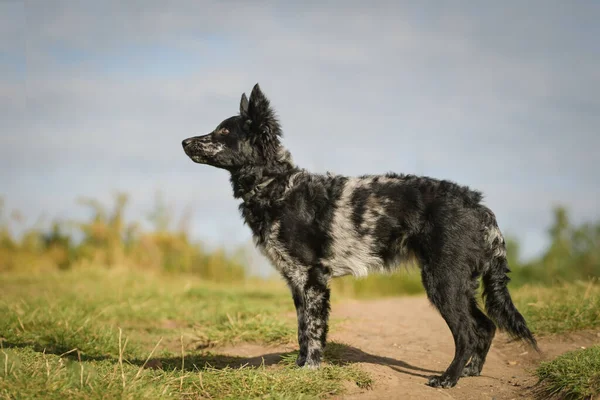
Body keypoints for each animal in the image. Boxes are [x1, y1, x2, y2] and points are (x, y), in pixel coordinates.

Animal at [180, 83, 536, 388]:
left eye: (224, 131)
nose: (183, 142)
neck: (278, 187)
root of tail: (479, 206)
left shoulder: (311, 280)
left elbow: (313, 330)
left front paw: (311, 369)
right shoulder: (297, 282)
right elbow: (302, 331)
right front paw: (300, 367)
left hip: (443, 282)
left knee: (467, 333)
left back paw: (449, 379)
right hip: (459, 284)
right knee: (486, 326)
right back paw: (471, 372)